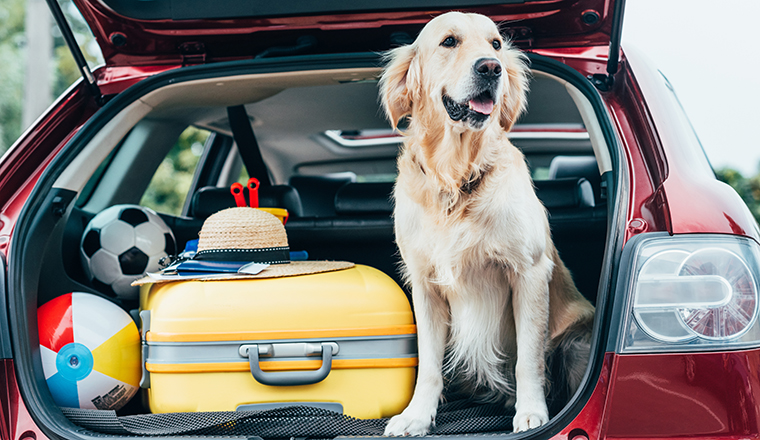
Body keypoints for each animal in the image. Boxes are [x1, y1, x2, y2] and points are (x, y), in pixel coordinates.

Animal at [378, 11, 592, 436]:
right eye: (449, 41)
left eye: (495, 44)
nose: (491, 68)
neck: (456, 178)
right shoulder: (425, 284)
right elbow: (428, 364)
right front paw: (416, 415)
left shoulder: (528, 272)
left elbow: (528, 358)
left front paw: (531, 412)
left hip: (577, 340)